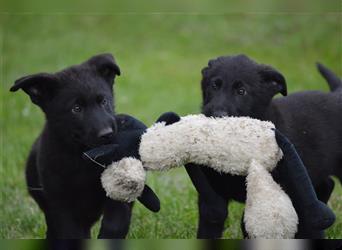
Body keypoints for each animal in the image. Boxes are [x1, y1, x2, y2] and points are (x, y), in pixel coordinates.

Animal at [10, 54, 160, 238]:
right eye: (76, 108)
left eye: (103, 101)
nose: (107, 134)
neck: (83, 158)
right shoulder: (60, 204)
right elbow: (70, 232)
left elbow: (116, 221)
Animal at [186, 54, 340, 238]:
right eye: (214, 86)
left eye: (241, 91)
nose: (216, 115)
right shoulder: (211, 194)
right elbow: (211, 221)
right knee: (327, 185)